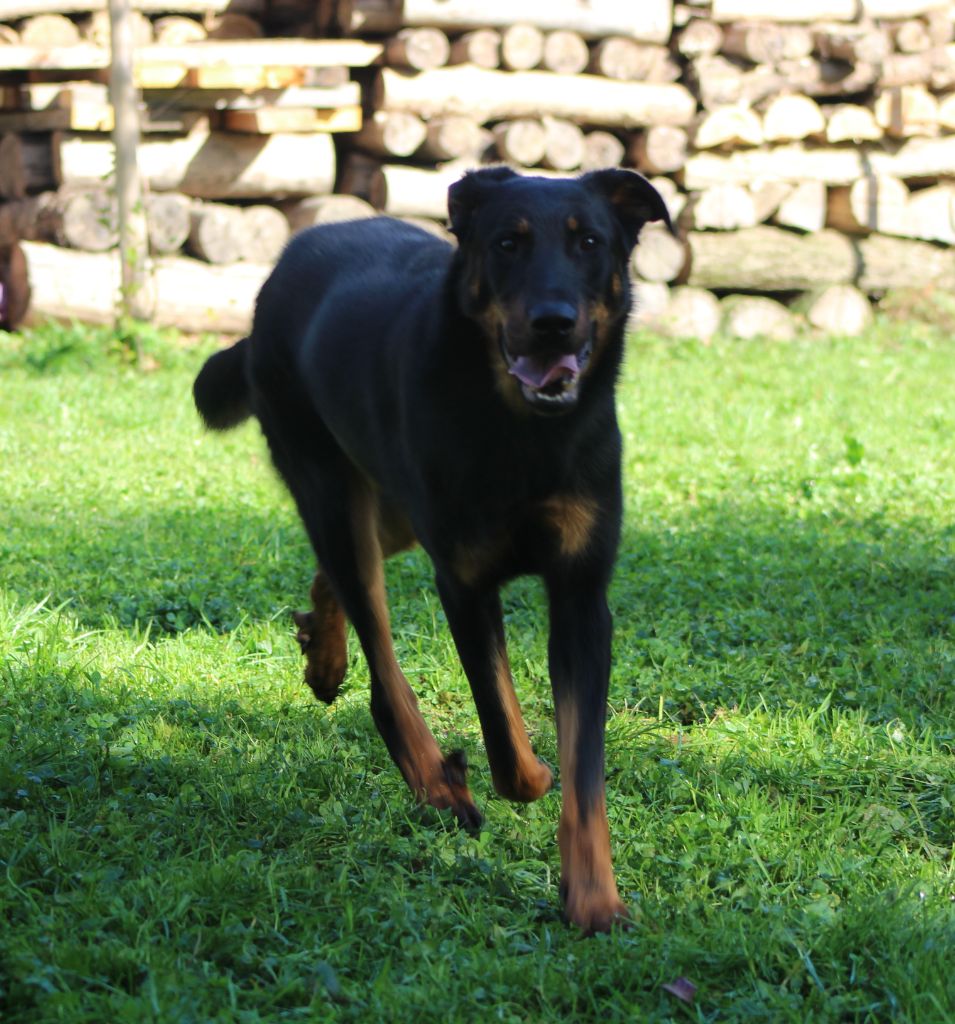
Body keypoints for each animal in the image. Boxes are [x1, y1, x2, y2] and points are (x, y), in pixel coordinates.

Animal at [191, 163, 671, 933]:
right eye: (507, 242)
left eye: (590, 242)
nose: (552, 322)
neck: (522, 433)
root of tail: (286, 264)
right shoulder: (464, 582)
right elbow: (507, 739)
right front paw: (518, 774)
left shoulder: (580, 596)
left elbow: (584, 770)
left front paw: (594, 898)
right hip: (334, 492)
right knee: (379, 656)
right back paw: (432, 779)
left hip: (388, 506)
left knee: (337, 577)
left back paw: (323, 651)